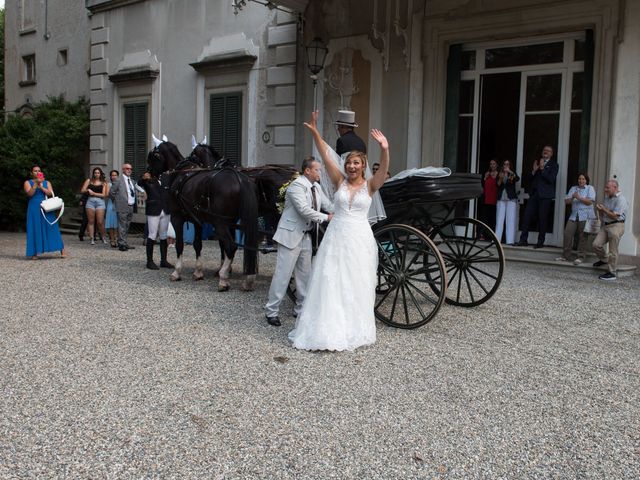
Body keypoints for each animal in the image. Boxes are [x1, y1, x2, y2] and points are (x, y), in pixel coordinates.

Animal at [149, 137, 258, 290]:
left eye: (152, 156)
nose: (148, 173)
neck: (181, 172)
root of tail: (239, 179)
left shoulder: (177, 218)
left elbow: (180, 244)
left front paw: (177, 272)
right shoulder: (197, 220)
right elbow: (197, 244)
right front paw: (198, 272)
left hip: (220, 223)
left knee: (231, 246)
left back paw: (223, 278)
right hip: (231, 222)